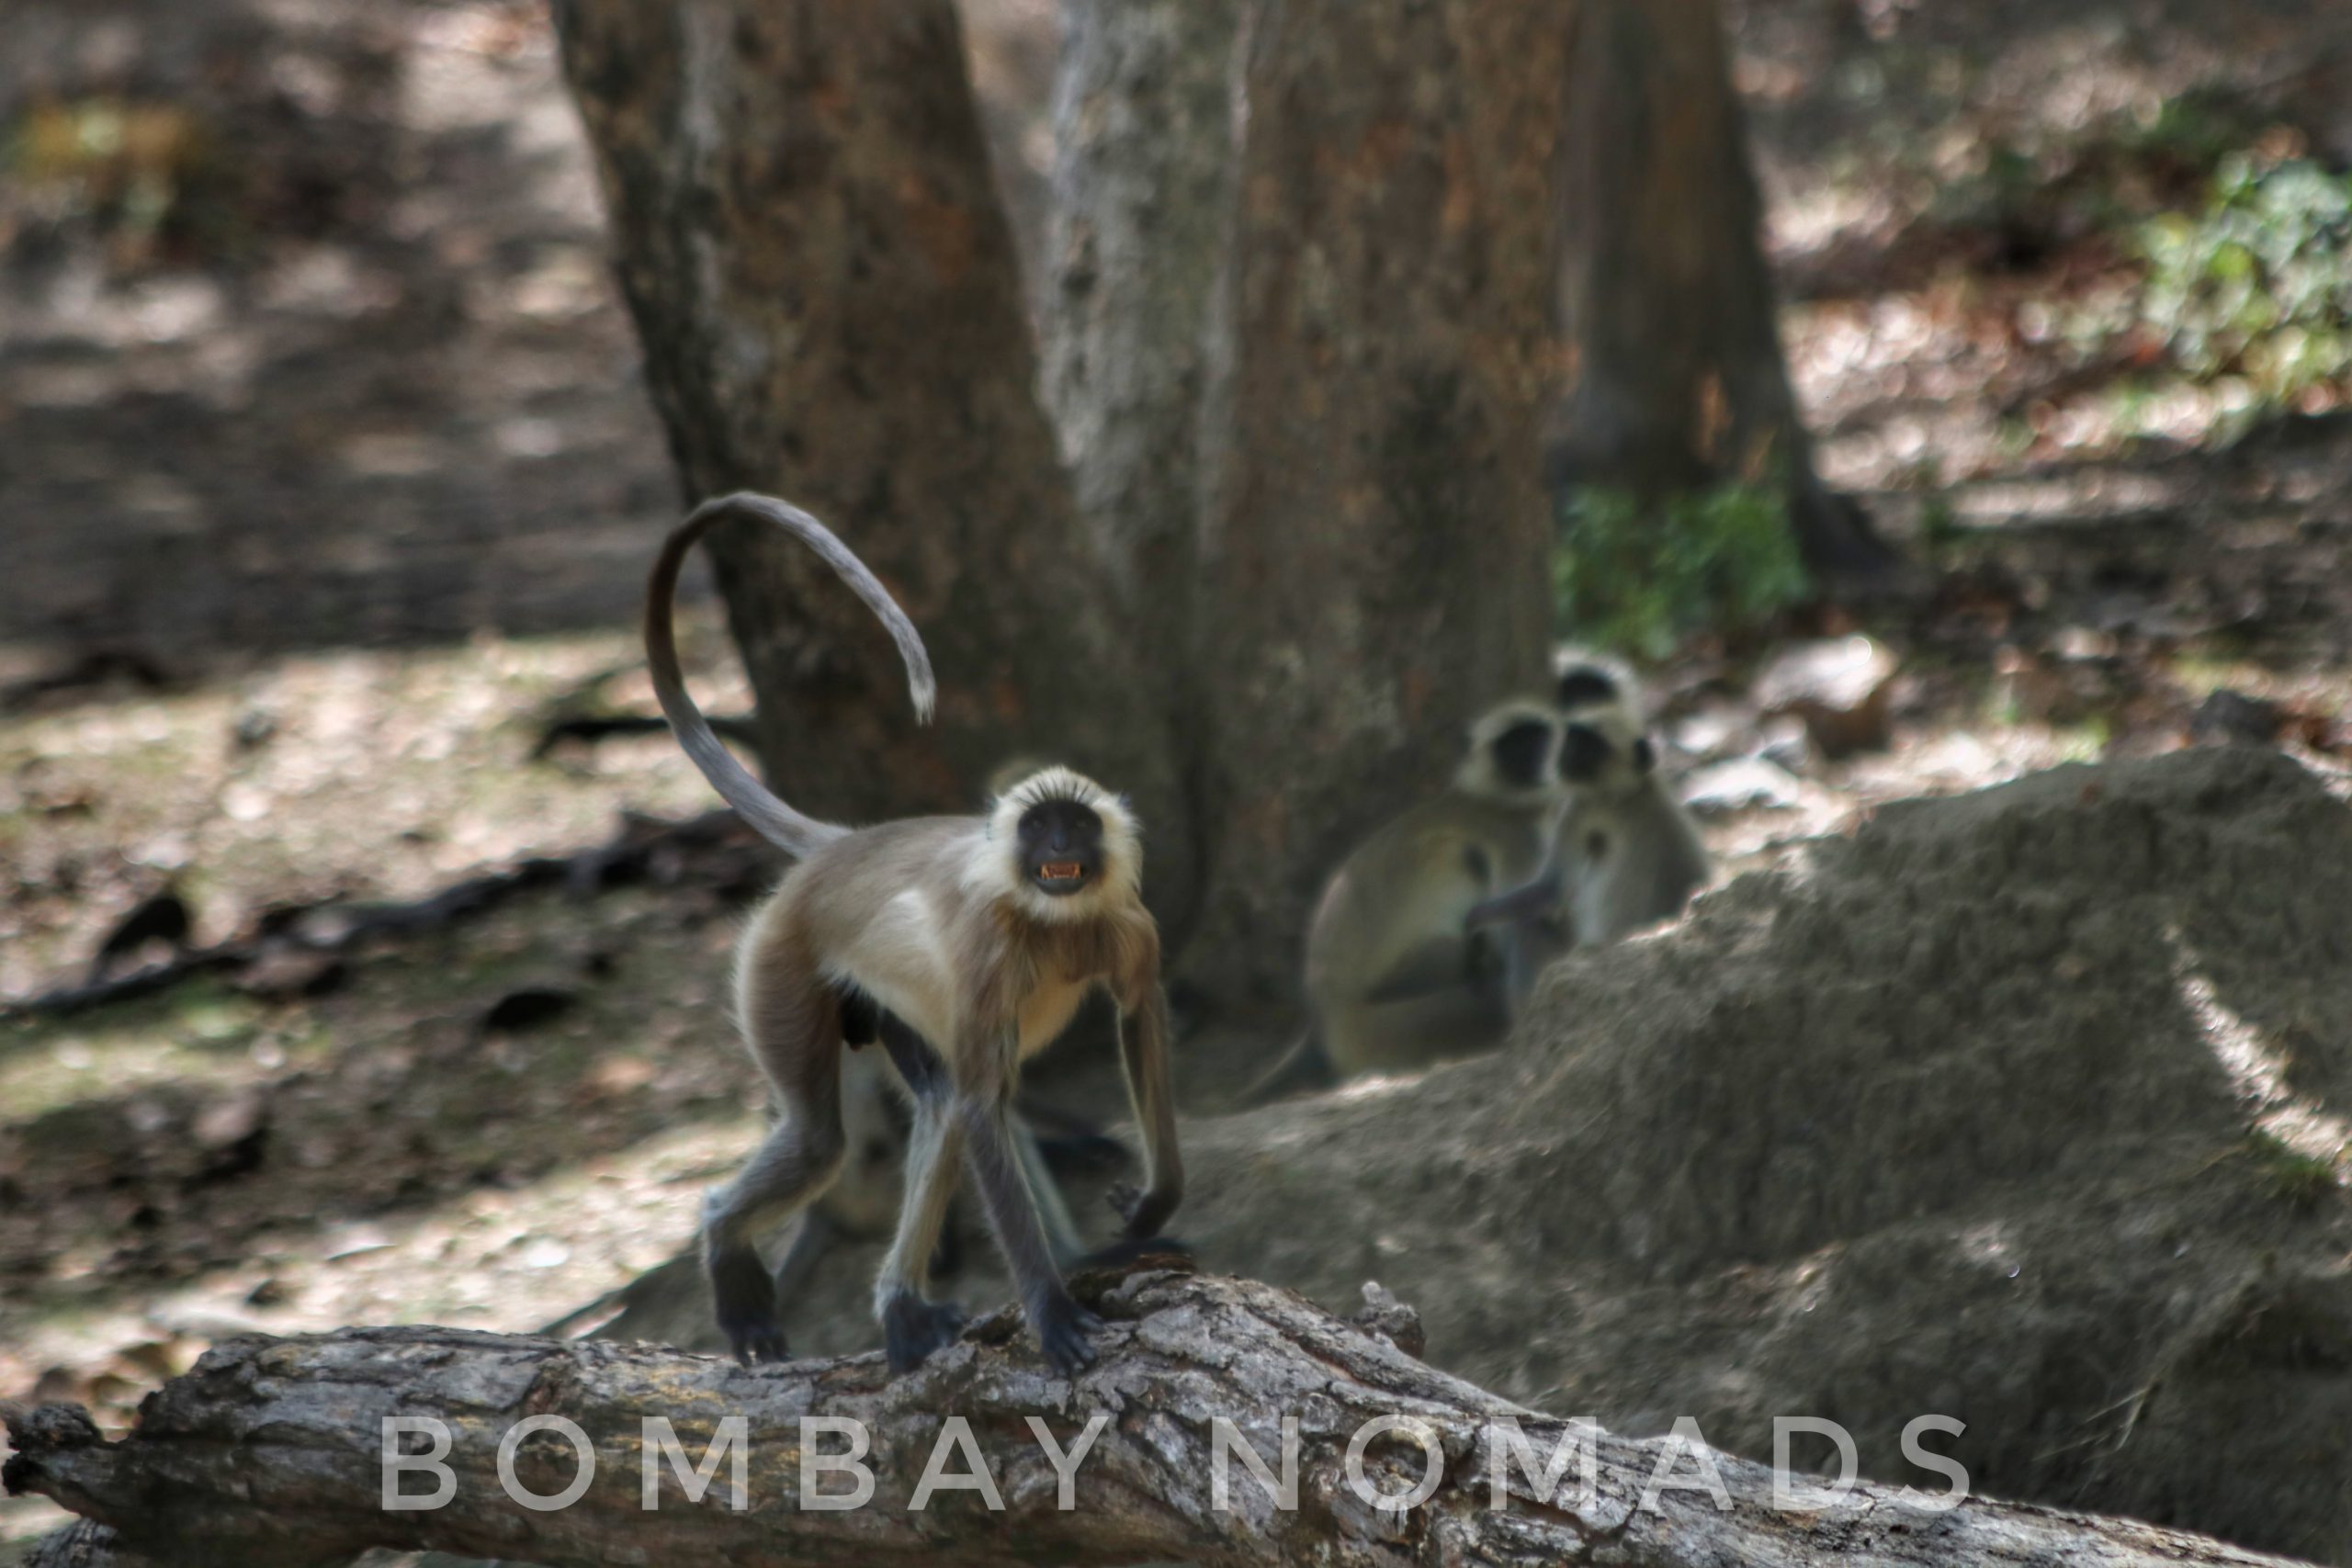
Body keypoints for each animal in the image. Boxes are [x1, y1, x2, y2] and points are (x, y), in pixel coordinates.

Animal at [649, 491, 1176, 1372]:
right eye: (1038, 828)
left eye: (1076, 825)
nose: (1058, 849)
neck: (1051, 922)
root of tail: (844, 847)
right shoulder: (987, 952)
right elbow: (984, 1105)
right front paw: (1051, 1310)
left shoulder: (1130, 927)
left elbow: (1137, 1022)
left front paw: (1154, 1205)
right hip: (780, 962)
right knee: (833, 1137)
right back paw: (727, 1235)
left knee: (937, 1102)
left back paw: (902, 1308)